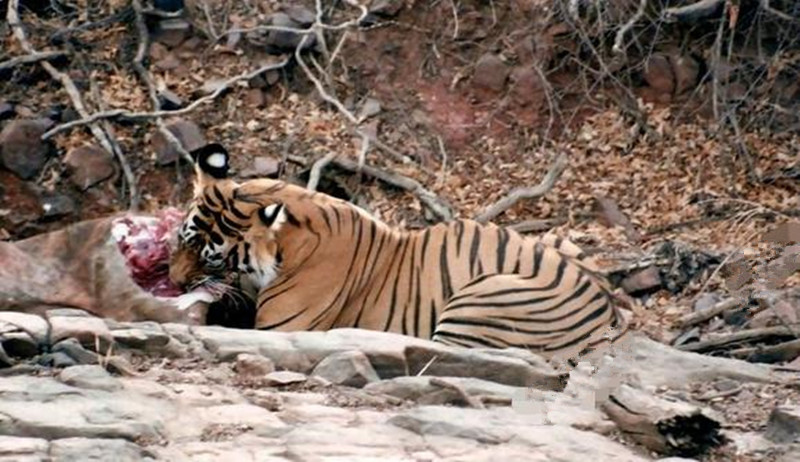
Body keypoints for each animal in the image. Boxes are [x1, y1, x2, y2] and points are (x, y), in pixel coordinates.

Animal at [170, 143, 632, 362]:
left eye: (211, 256)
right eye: (181, 239)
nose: (173, 281)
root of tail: (611, 318)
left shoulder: (281, 329)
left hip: (481, 297)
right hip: (559, 242)